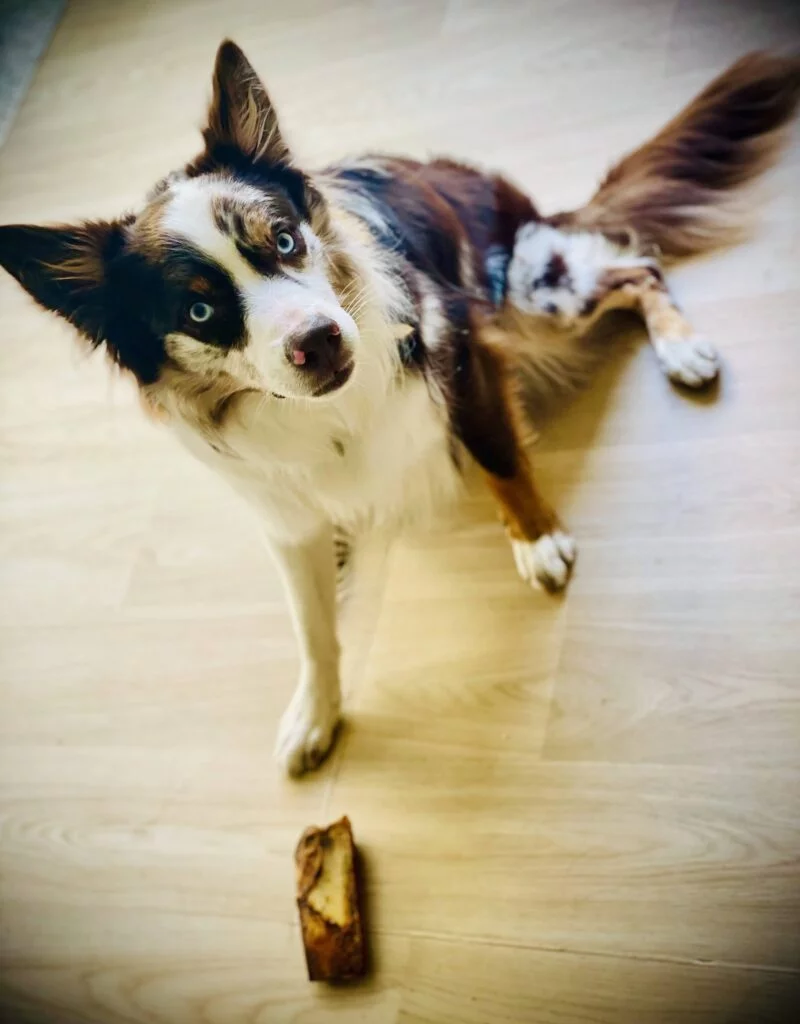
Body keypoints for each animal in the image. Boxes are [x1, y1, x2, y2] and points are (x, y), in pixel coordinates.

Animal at [1, 41, 798, 774]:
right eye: (198, 310)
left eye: (284, 239)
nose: (318, 341)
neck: (327, 411)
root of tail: (525, 204)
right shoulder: (285, 514)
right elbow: (311, 627)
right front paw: (315, 713)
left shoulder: (461, 341)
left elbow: (499, 454)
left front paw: (538, 539)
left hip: (530, 291)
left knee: (638, 269)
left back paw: (682, 350)